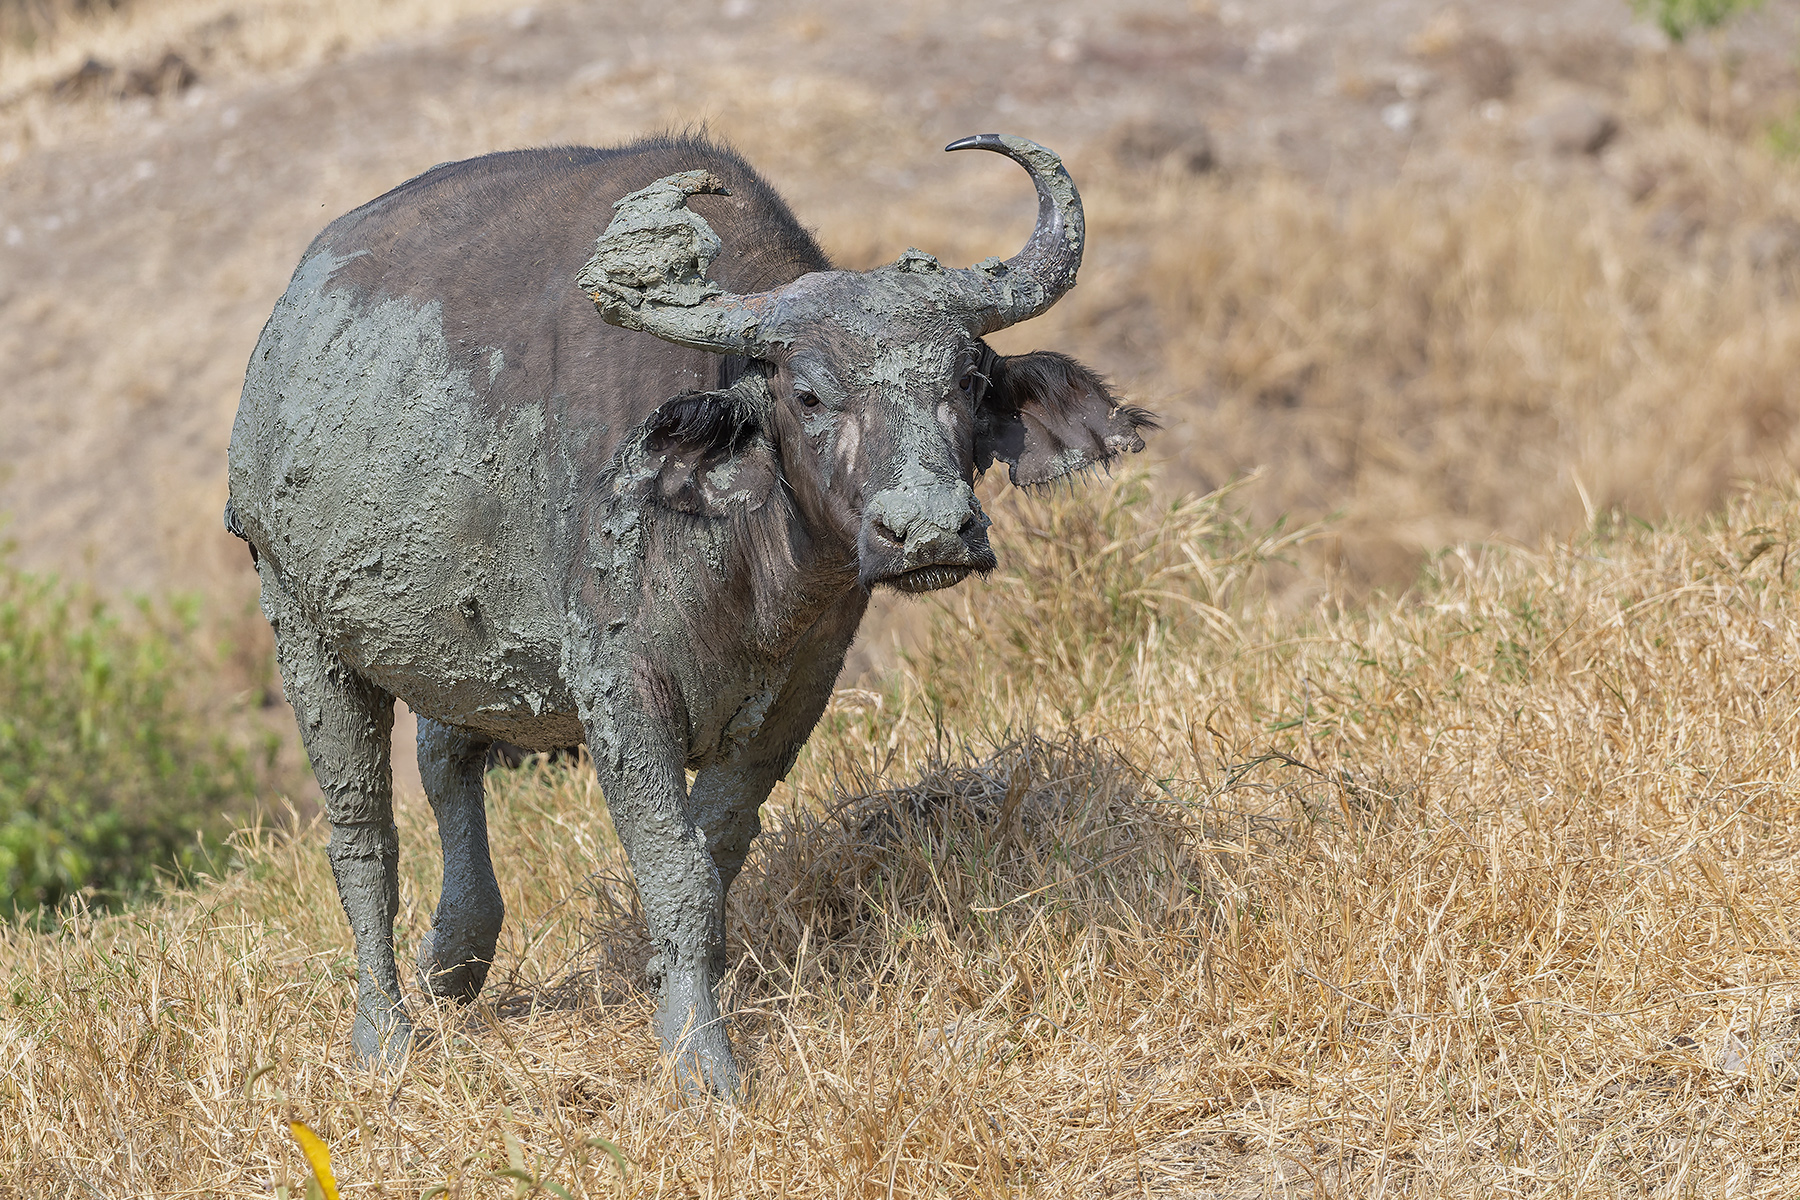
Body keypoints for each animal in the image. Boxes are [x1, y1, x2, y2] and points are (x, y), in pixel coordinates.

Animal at [226, 131, 1153, 1096]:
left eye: (969, 380)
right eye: (809, 394)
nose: (930, 530)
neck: (743, 558)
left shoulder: (796, 697)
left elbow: (716, 854)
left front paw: (669, 993)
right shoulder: (619, 692)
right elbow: (676, 871)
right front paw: (702, 1057)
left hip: (466, 642)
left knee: (447, 756)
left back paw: (455, 959)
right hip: (302, 628)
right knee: (362, 833)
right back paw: (384, 1032)